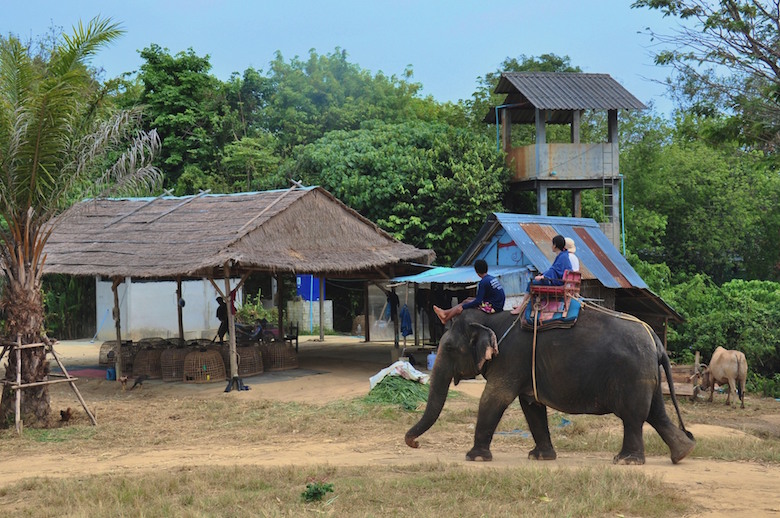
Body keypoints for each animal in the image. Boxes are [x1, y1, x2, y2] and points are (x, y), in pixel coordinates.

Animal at [406, 308, 696, 468]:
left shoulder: (511, 357)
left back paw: (626, 461)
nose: (415, 444)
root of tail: (654, 337)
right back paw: (682, 453)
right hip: (648, 375)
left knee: (634, 417)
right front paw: (540, 457)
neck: (494, 318)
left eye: (449, 348)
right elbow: (531, 405)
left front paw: (474, 458)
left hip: (633, 374)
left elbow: (494, 398)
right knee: (656, 413)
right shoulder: (525, 366)